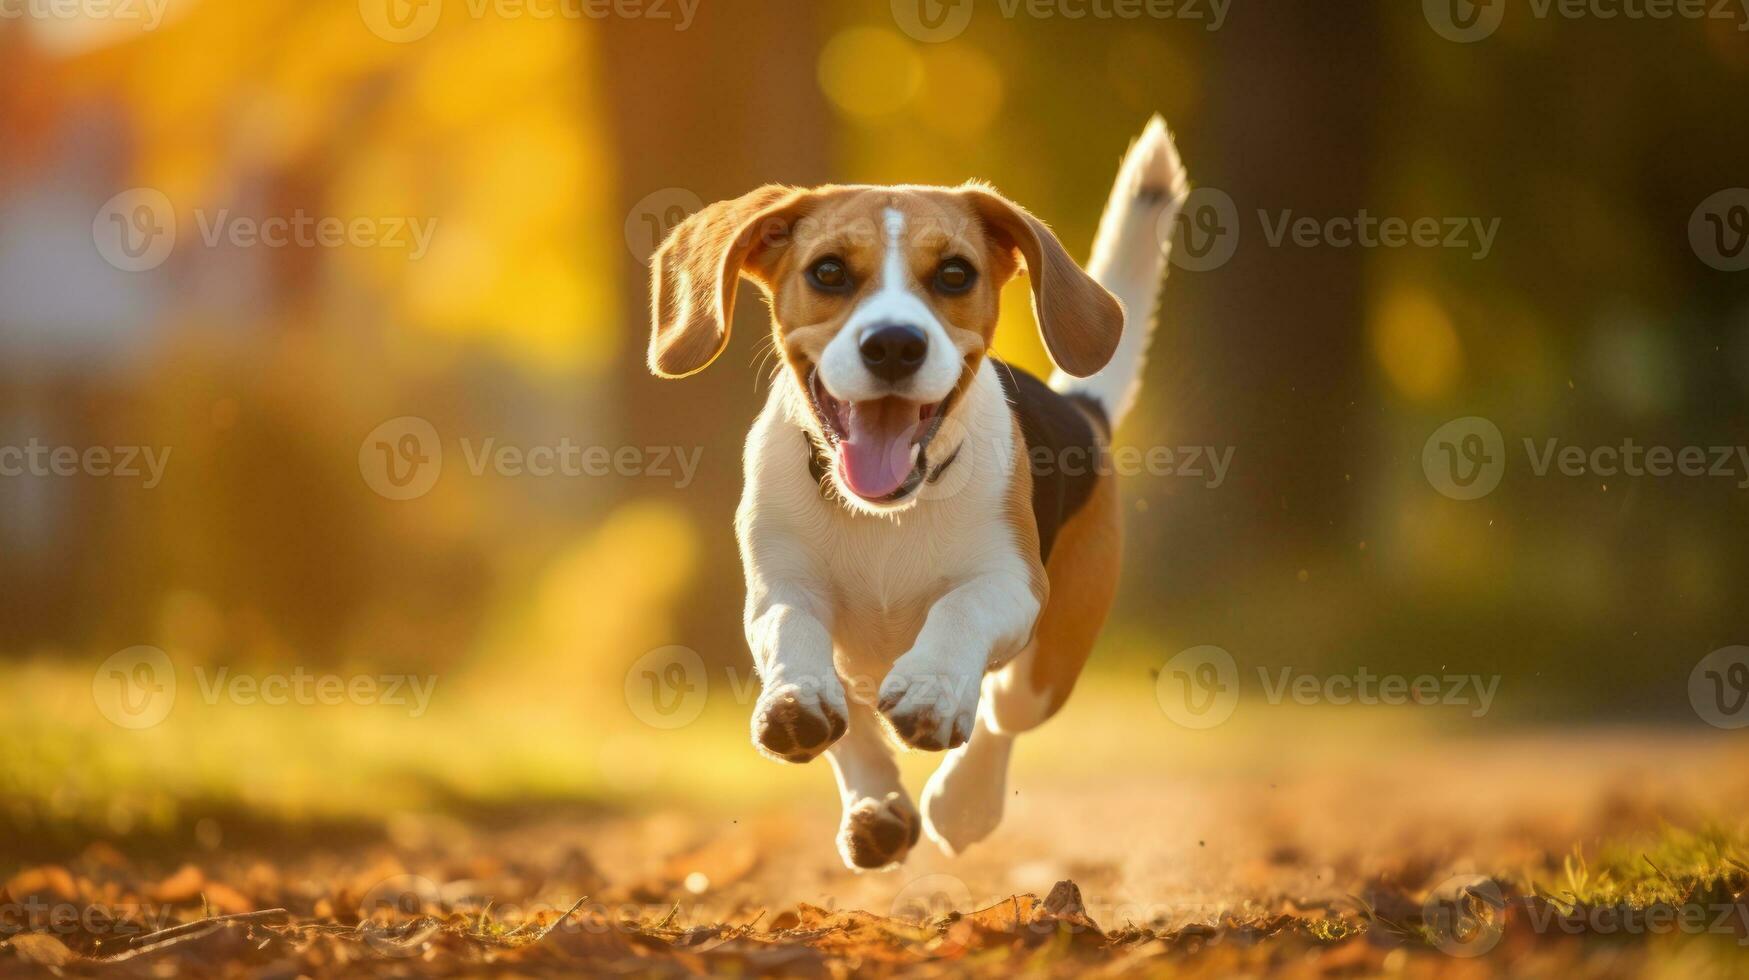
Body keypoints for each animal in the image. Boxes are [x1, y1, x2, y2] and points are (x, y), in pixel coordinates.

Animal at [647, 119, 1189, 868]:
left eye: (954, 274)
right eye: (828, 272)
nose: (895, 345)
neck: (885, 512)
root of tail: (1082, 408)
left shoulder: (1011, 585)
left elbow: (958, 612)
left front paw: (932, 692)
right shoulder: (778, 587)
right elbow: (794, 632)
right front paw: (799, 703)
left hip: (1049, 659)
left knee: (1000, 717)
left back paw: (962, 803)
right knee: (857, 710)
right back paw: (877, 804)